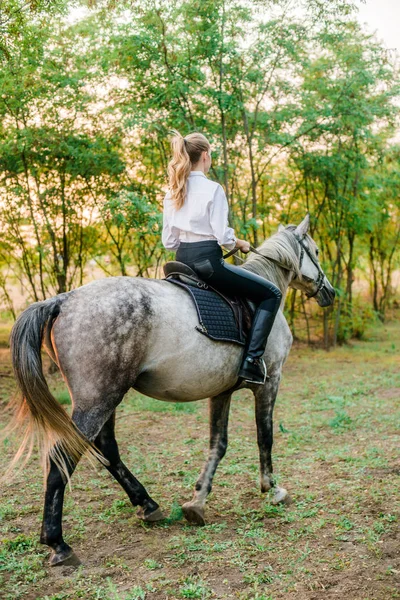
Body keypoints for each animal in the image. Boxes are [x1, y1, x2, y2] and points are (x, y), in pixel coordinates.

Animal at [7, 213, 336, 564]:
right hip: (97, 400)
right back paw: (58, 542)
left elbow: (218, 445)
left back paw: (147, 504)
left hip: (104, 398)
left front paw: (197, 502)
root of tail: (64, 299)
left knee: (107, 449)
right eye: (316, 250)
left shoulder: (221, 391)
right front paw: (272, 488)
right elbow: (265, 436)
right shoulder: (270, 381)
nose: (330, 292)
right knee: (63, 457)